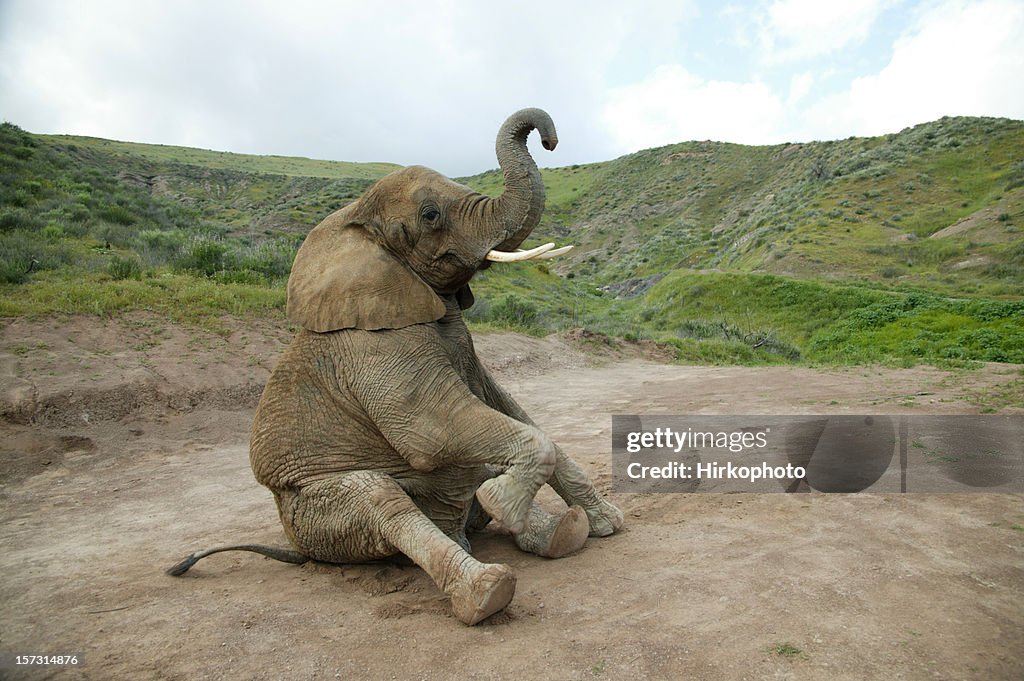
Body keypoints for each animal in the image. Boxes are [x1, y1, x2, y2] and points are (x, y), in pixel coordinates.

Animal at [165, 109, 622, 622]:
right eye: (431, 215)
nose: (549, 139)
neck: (354, 222)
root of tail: (298, 549)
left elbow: (512, 412)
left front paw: (606, 524)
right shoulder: (374, 346)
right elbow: (432, 430)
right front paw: (504, 504)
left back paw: (562, 533)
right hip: (316, 514)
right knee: (382, 501)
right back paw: (486, 590)